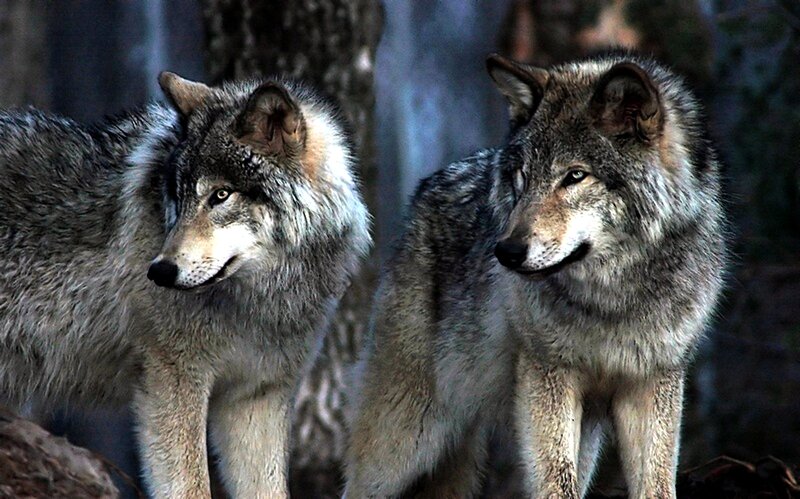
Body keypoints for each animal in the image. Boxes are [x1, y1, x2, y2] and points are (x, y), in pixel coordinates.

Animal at [0, 72, 370, 498]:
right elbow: (192, 487)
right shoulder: (173, 381)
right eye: (178, 196)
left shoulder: (256, 397)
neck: (260, 297)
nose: (159, 271)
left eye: (221, 194)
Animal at [345, 53, 726, 498]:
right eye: (523, 177)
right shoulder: (547, 375)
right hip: (407, 438)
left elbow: (656, 484)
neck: (612, 298)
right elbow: (556, 481)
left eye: (575, 176)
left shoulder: (654, 381)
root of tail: (425, 188)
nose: (506, 252)